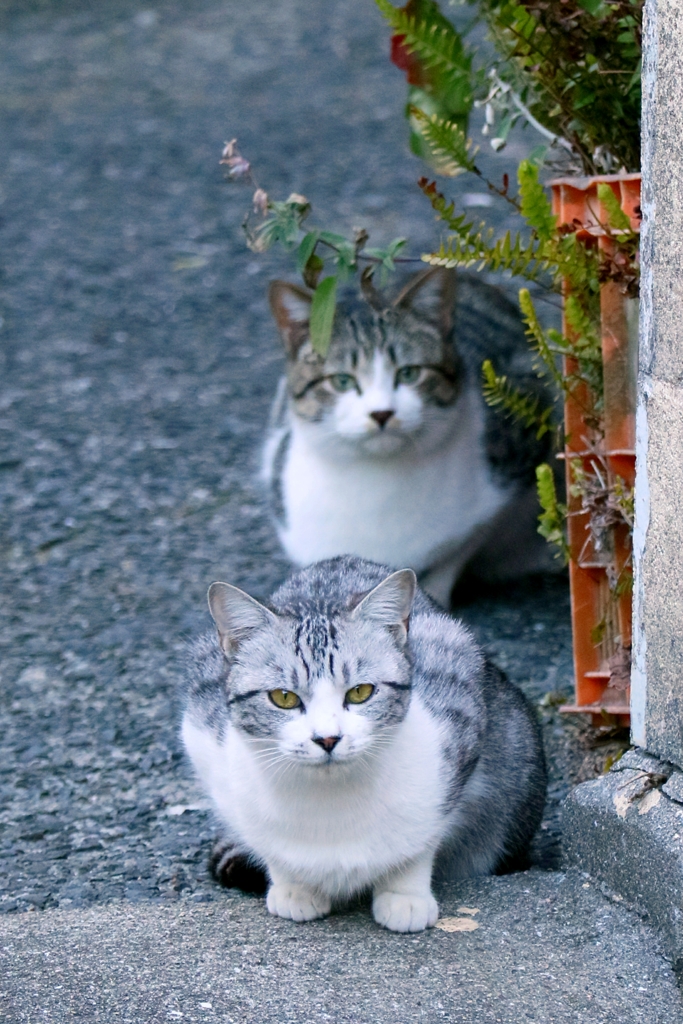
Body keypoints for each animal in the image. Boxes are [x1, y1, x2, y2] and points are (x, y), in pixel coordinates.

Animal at [180, 557, 544, 933]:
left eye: (360, 692)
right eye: (283, 697)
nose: (327, 738)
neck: (330, 802)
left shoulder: (459, 702)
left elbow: (422, 837)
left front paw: (404, 894)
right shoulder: (202, 734)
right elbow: (266, 842)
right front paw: (293, 885)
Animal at [262, 270, 557, 606]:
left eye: (409, 373)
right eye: (342, 381)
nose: (381, 413)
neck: (377, 481)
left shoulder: (515, 463)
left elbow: (459, 549)